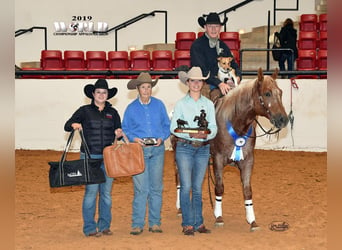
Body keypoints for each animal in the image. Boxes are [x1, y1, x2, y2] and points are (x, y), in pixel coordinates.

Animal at [171, 67, 288, 231]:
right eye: (267, 93)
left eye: (280, 92)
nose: (283, 120)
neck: (235, 122)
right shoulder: (218, 159)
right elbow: (219, 187)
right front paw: (219, 217)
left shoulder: (248, 161)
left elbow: (247, 190)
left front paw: (252, 220)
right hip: (177, 157)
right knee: (179, 180)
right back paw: (180, 208)